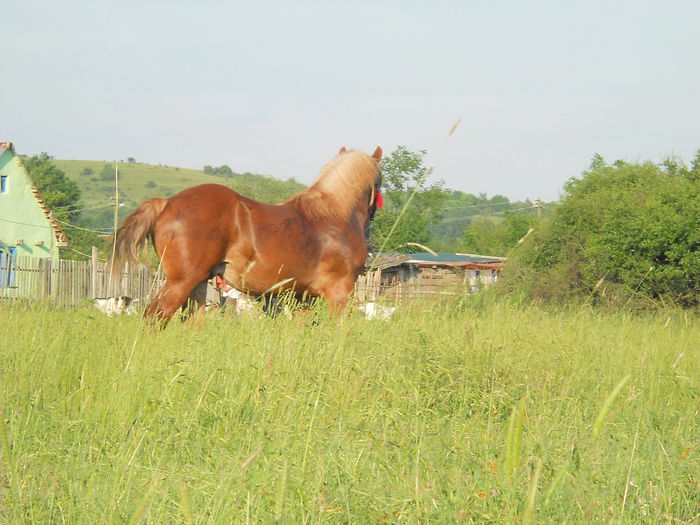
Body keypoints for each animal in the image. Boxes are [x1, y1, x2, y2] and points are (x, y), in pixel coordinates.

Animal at [112, 147, 382, 324]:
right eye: (379, 182)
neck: (332, 213)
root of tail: (167, 203)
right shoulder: (339, 292)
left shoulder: (302, 297)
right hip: (182, 281)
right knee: (156, 315)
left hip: (198, 286)